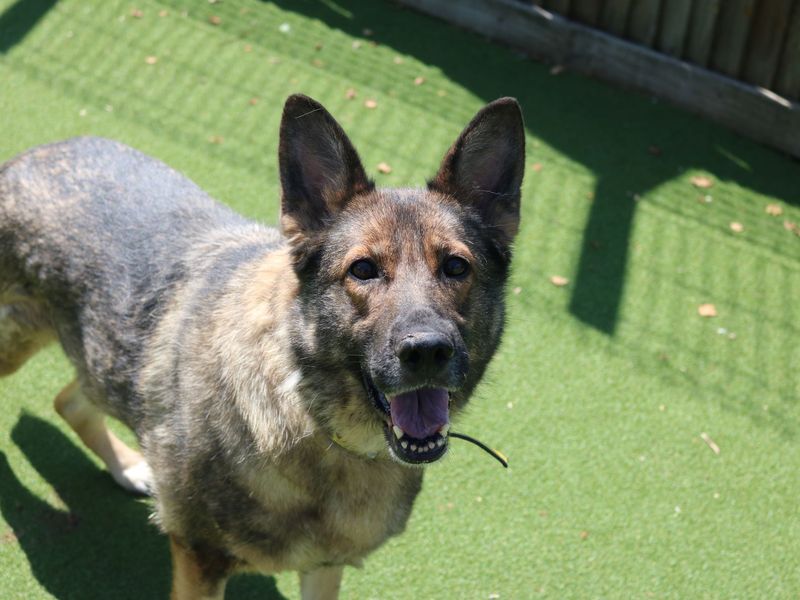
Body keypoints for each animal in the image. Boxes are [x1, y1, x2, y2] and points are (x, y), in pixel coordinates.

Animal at [0, 96, 528, 596]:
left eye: (456, 267)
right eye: (363, 270)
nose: (427, 351)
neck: (316, 423)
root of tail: (34, 155)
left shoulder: (325, 568)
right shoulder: (200, 561)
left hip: (105, 358)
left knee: (70, 400)